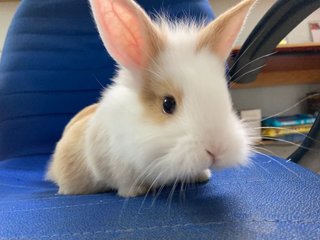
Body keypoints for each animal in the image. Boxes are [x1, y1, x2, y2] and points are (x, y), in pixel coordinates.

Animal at [45, 0, 255, 197]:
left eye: (226, 97)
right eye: (168, 104)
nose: (216, 149)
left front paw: (202, 176)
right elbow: (126, 183)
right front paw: (136, 191)